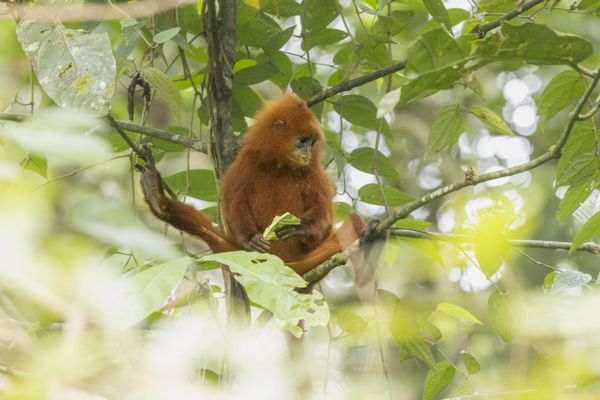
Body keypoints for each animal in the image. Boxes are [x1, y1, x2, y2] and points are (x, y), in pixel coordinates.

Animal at [140, 93, 364, 276]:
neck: (279, 165)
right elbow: (235, 203)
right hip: (237, 255)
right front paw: (250, 238)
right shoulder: (246, 162)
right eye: (303, 141)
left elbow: (323, 214)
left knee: (354, 223)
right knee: (205, 229)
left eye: (311, 143)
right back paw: (156, 198)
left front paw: (298, 227)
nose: (308, 152)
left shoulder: (312, 171)